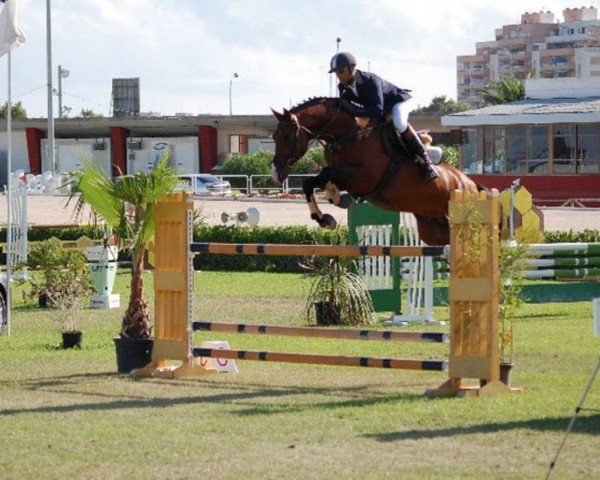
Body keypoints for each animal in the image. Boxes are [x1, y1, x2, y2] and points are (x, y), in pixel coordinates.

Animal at [270, 98, 478, 248]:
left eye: (287, 137)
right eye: (274, 136)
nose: (275, 173)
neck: (347, 133)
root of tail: (470, 184)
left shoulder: (365, 178)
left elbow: (325, 175)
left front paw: (336, 203)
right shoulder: (346, 176)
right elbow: (313, 181)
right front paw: (328, 214)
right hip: (432, 228)